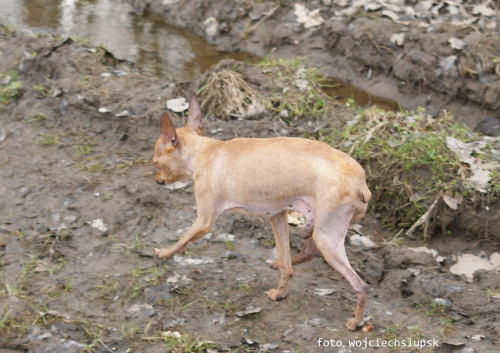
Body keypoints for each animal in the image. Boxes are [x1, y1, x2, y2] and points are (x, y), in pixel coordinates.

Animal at [152, 95, 372, 328]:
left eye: (156, 163)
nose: (156, 181)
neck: (202, 152)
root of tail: (361, 183)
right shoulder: (277, 216)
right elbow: (285, 263)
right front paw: (280, 292)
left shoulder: (204, 221)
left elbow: (182, 241)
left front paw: (164, 253)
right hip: (318, 226)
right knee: (302, 255)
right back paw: (278, 265)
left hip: (327, 236)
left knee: (360, 284)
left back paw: (356, 321)